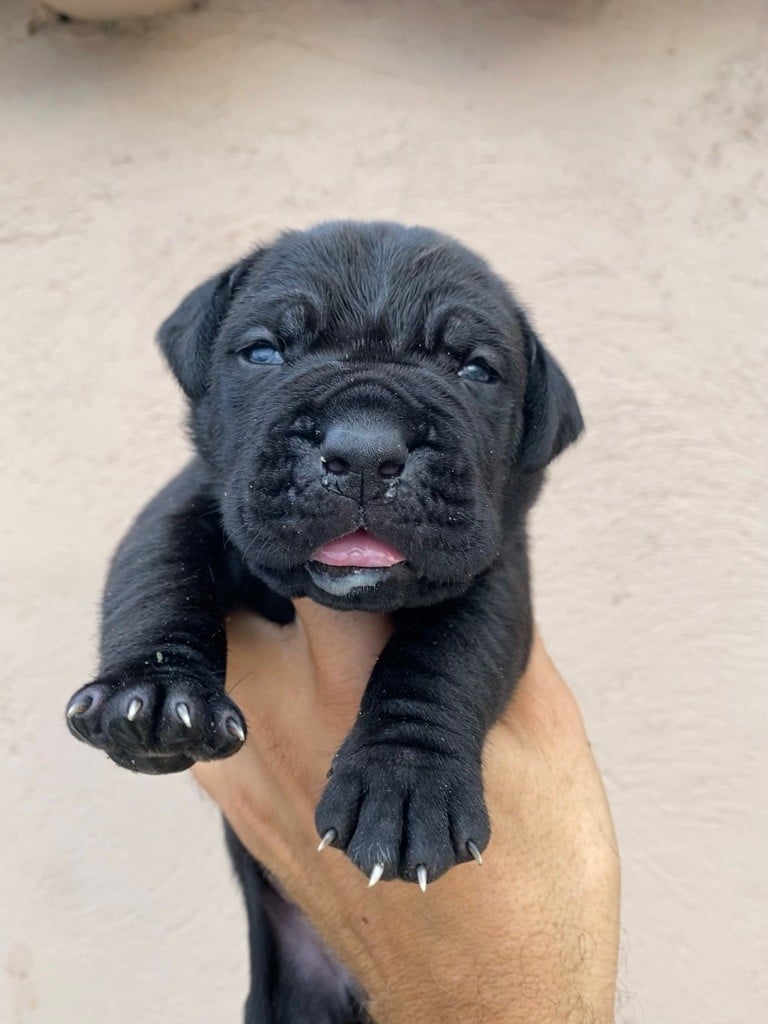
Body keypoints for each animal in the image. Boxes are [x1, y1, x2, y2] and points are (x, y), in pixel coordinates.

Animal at [66, 220, 581, 1019]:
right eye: (263, 353)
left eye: (475, 370)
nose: (365, 448)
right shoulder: (188, 502)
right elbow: (158, 577)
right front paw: (152, 695)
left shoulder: (494, 567)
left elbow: (446, 653)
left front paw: (405, 785)